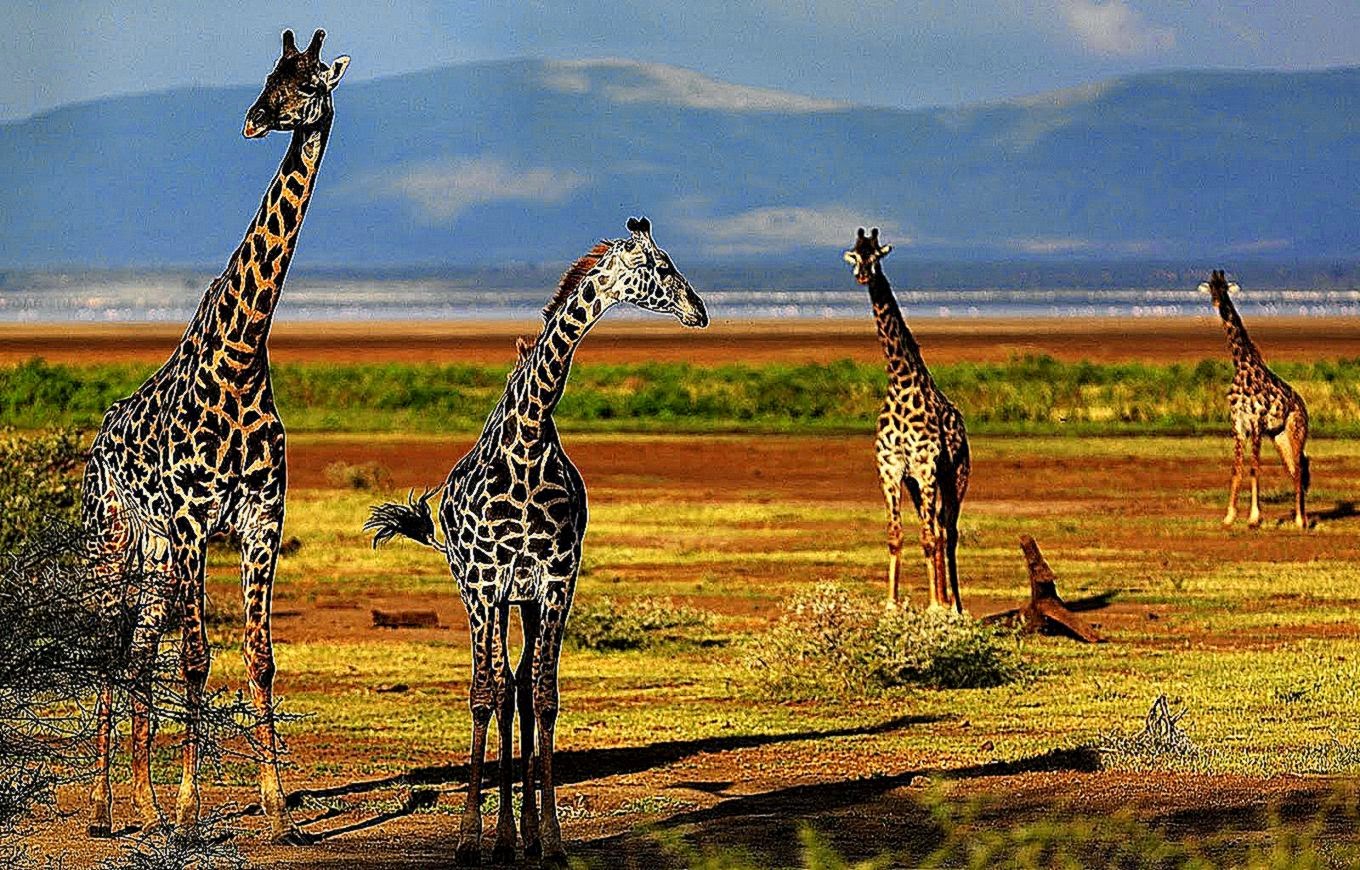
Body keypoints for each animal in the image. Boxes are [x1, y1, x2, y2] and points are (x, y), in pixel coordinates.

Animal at [81, 29, 349, 844]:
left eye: (307, 84)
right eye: (268, 75)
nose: (255, 120)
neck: (241, 356)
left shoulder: (263, 522)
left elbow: (260, 657)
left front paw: (277, 808)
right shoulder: (196, 523)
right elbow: (196, 658)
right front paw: (193, 810)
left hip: (155, 554)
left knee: (138, 653)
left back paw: (139, 806)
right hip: (115, 541)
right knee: (110, 650)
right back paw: (104, 812)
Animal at [365, 217, 707, 866]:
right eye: (655, 267)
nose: (698, 309)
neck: (526, 440)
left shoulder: (554, 582)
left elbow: (544, 698)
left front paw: (549, 838)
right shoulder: (484, 584)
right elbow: (483, 694)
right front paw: (470, 839)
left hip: (522, 600)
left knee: (521, 688)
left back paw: (518, 835)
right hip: (489, 596)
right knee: (501, 689)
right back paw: (497, 837)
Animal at [843, 227, 970, 612]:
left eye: (876, 255)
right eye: (855, 254)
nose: (863, 275)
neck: (899, 382)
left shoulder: (927, 466)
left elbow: (929, 537)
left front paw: (935, 607)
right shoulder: (891, 468)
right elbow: (896, 534)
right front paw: (890, 605)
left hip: (955, 476)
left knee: (947, 530)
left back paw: (954, 605)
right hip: (918, 483)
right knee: (937, 528)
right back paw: (945, 599)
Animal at [1200, 269, 1310, 529]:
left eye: (1225, 288)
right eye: (1211, 288)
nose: (1219, 304)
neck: (1242, 366)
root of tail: (1303, 406)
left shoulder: (1257, 423)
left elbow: (1254, 468)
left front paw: (1253, 518)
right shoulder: (1238, 425)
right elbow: (1236, 469)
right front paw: (1229, 516)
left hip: (1296, 431)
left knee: (1300, 468)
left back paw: (1301, 521)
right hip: (1279, 436)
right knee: (1293, 469)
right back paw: (1300, 516)